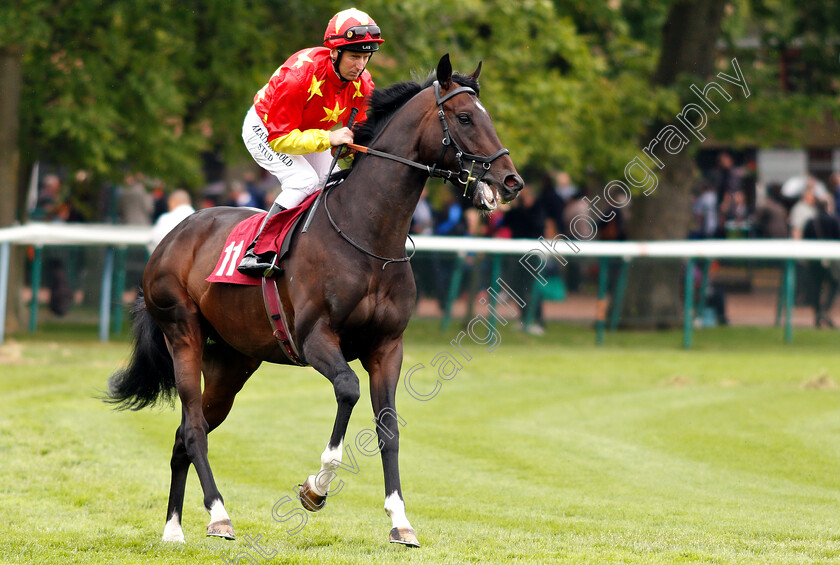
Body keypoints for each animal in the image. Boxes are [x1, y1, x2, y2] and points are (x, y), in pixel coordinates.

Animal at [107, 54, 520, 548]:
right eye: (464, 118)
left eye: (486, 116)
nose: (510, 181)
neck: (368, 237)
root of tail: (172, 236)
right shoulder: (315, 338)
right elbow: (348, 390)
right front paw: (315, 488)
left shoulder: (387, 347)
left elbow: (388, 427)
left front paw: (401, 521)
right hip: (182, 331)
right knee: (192, 428)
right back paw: (218, 515)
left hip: (232, 361)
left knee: (187, 432)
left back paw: (174, 527)